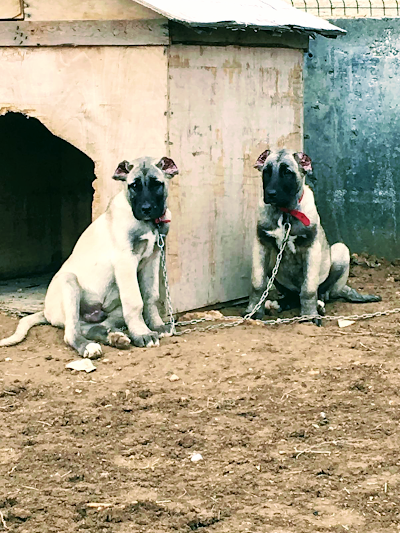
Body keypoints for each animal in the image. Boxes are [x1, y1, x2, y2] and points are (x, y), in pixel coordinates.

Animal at [0, 154, 178, 356]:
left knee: (93, 327)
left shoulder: (152, 259)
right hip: (69, 283)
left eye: (157, 184)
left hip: (111, 310)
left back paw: (114, 337)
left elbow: (150, 296)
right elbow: (135, 301)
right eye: (134, 186)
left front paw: (157, 326)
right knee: (71, 333)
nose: (146, 209)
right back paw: (88, 346)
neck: (149, 223)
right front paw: (142, 334)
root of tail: (46, 311)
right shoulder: (125, 261)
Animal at [245, 149, 380, 324]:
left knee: (323, 292)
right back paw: (284, 302)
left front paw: (309, 315)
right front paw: (253, 311)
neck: (285, 212)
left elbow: (309, 288)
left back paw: (319, 305)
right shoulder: (262, 245)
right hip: (273, 263)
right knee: (291, 295)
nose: (270, 194)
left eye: (287, 173)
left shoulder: (311, 248)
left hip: (341, 251)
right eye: (266, 172)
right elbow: (258, 283)